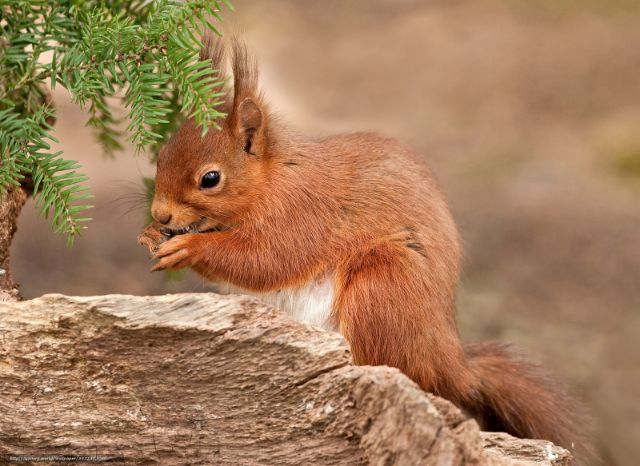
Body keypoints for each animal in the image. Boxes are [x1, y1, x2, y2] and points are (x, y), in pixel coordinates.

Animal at [139, 35, 581, 456]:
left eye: (210, 179)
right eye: (161, 157)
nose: (161, 214)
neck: (273, 178)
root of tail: (451, 361)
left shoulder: (302, 214)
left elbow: (266, 260)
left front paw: (190, 248)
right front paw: (149, 235)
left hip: (382, 286)